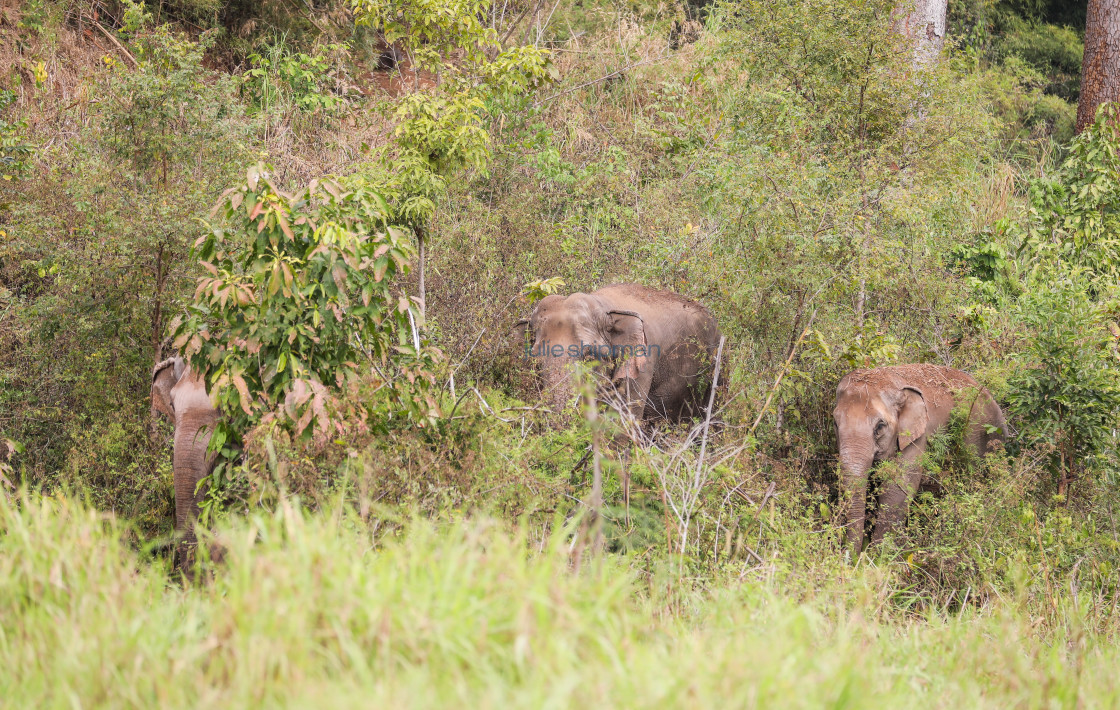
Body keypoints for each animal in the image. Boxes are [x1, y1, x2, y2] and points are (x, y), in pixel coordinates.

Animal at [833, 365, 1008, 553]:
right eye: (835, 423)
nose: (851, 556)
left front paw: (879, 555)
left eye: (880, 426)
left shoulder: (917, 437)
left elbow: (897, 489)